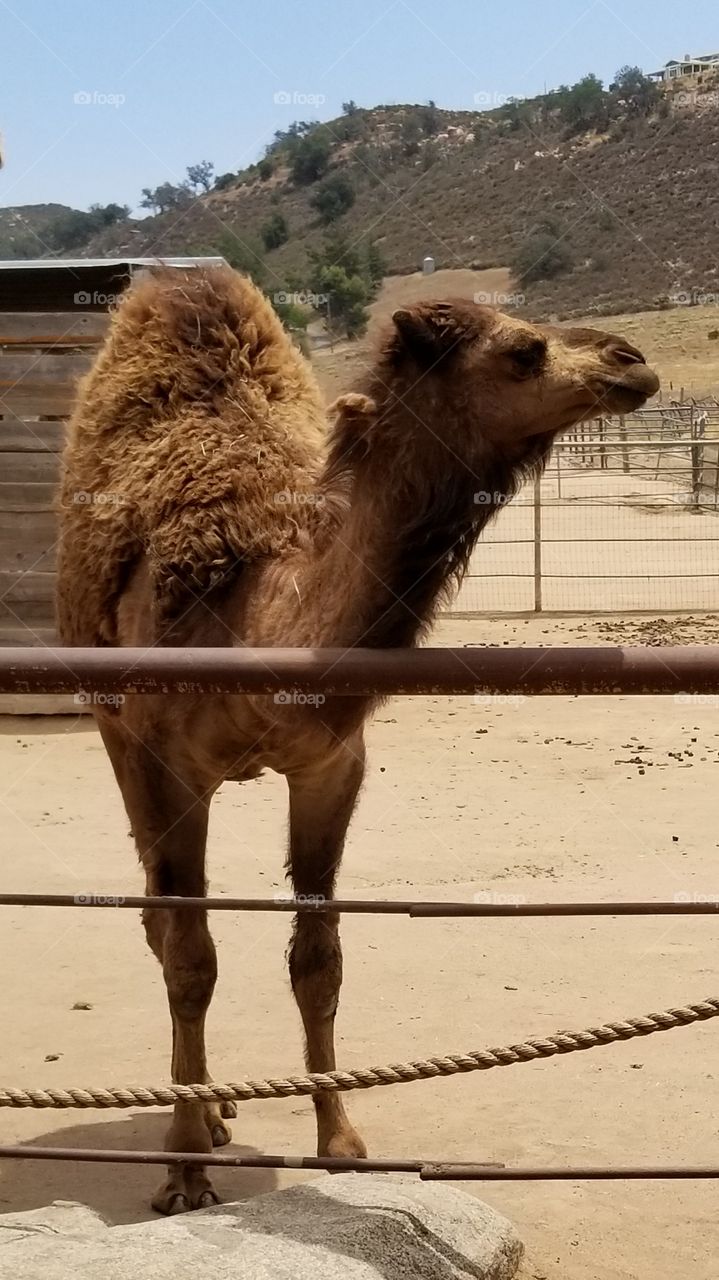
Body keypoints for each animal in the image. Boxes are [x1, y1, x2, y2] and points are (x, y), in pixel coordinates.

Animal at [56, 266, 659, 1214]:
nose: (633, 362)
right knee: (159, 916)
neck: (257, 615)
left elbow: (320, 958)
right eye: (523, 349)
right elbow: (191, 955)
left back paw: (218, 1106)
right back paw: (196, 1116)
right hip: (117, 732)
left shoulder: (331, 763)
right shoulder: (169, 761)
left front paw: (341, 1140)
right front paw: (184, 1170)